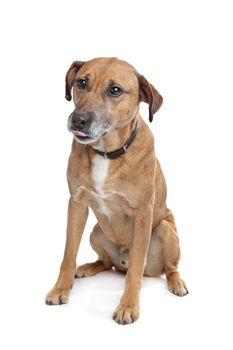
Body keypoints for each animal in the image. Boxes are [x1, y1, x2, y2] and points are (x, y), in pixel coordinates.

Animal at [45, 58, 187, 326]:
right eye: (82, 82)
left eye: (115, 90)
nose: (78, 120)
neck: (106, 153)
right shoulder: (77, 205)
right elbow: (68, 254)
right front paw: (60, 289)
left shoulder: (143, 214)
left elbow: (135, 271)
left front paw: (128, 305)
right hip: (96, 231)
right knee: (106, 263)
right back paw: (88, 267)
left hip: (165, 230)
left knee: (167, 268)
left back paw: (176, 283)